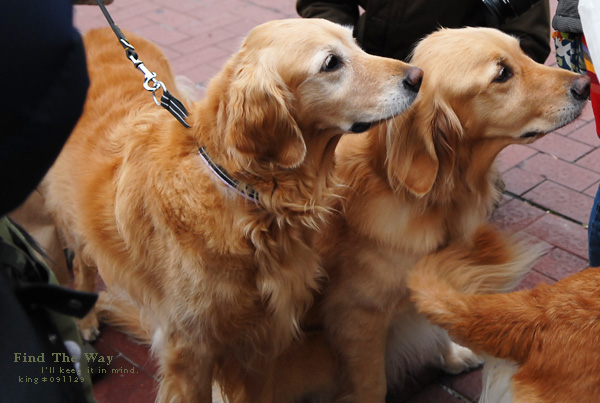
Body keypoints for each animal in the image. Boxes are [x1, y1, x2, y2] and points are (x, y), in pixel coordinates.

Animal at [41, 18, 422, 400]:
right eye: (331, 63)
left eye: (355, 42)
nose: (418, 76)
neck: (249, 195)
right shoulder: (189, 353)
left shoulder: (263, 343)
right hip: (70, 213)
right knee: (82, 259)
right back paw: (85, 320)